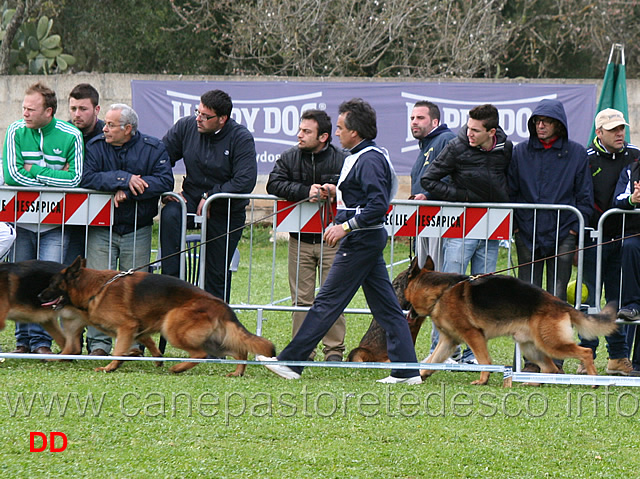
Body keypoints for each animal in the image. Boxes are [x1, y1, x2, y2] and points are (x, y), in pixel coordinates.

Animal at [39, 258, 276, 376]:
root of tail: (220, 304)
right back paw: (237, 372)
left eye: (52, 284)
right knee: (240, 351)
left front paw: (110, 368)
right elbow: (148, 342)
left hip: (172, 326)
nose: (39, 296)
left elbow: (118, 350)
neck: (95, 288)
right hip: (215, 341)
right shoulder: (138, 329)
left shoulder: (127, 327)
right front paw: (155, 358)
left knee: (199, 353)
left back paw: (178, 368)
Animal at [404, 255, 620, 386]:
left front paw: (483, 380)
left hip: (551, 344)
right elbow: (433, 360)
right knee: (549, 368)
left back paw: (594, 381)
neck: (441, 292)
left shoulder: (473, 335)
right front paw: (420, 375)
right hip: (531, 347)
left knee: (585, 352)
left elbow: (485, 360)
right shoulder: (449, 341)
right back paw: (532, 382)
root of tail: (561, 304)